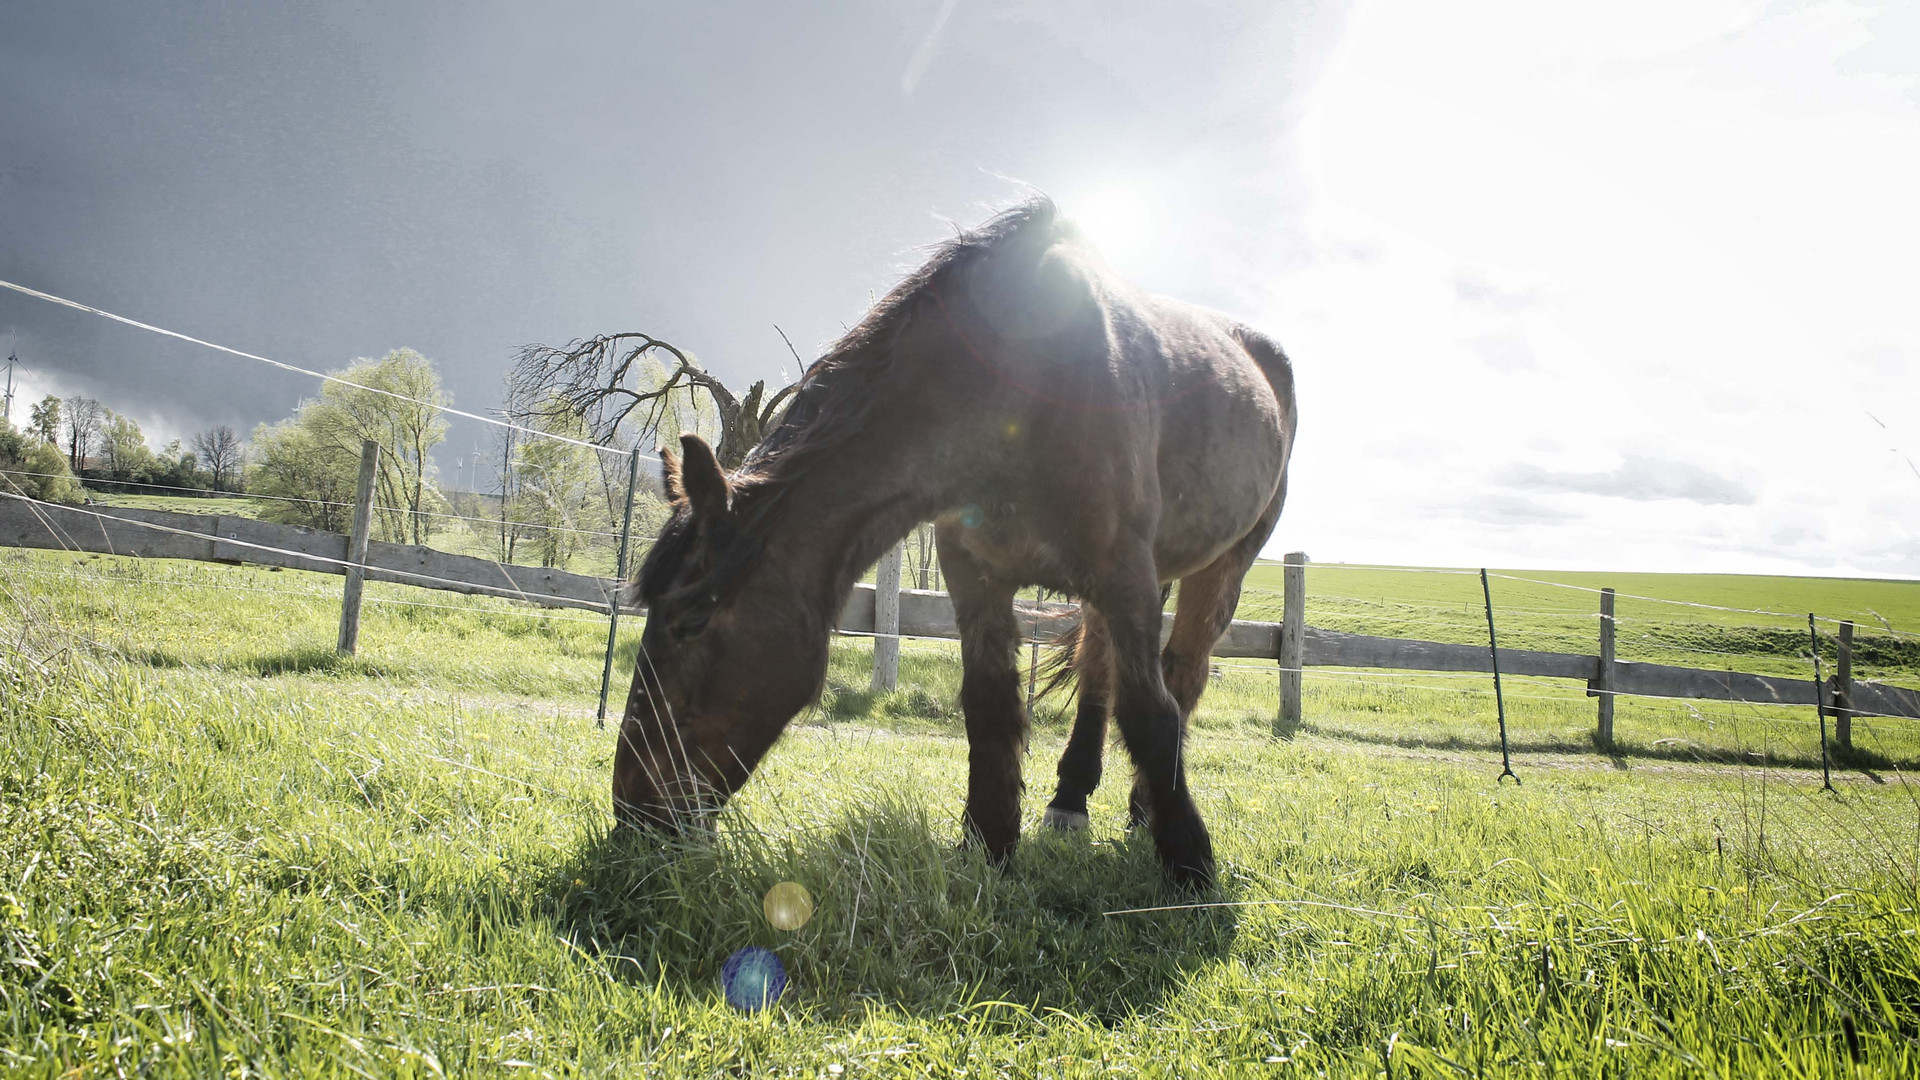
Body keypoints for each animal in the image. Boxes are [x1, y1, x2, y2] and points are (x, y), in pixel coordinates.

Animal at [622, 195, 1297, 883]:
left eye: (690, 622)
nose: (633, 813)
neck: (1024, 386)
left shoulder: (1122, 572)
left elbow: (1152, 715)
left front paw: (1190, 861)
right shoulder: (976, 573)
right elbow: (989, 704)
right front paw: (988, 843)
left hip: (1217, 566)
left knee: (1181, 674)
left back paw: (1143, 810)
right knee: (1099, 669)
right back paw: (1071, 799)